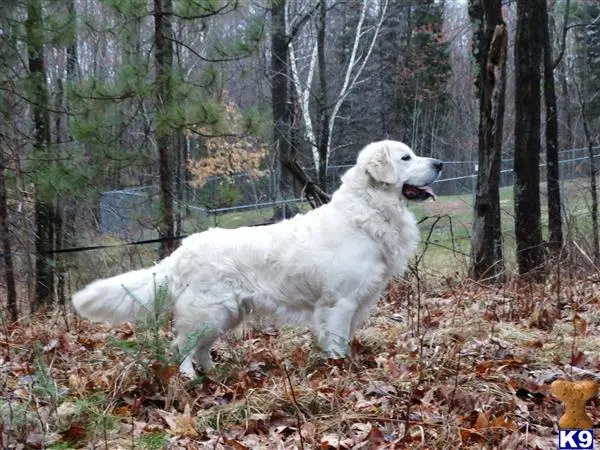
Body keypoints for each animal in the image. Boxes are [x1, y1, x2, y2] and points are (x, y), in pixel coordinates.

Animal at [72, 141, 442, 376]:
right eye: (406, 157)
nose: (439, 163)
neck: (366, 212)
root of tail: (181, 252)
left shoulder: (354, 303)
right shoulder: (340, 302)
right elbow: (337, 343)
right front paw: (341, 370)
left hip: (226, 313)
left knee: (201, 348)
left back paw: (216, 372)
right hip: (207, 311)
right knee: (183, 347)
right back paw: (189, 377)